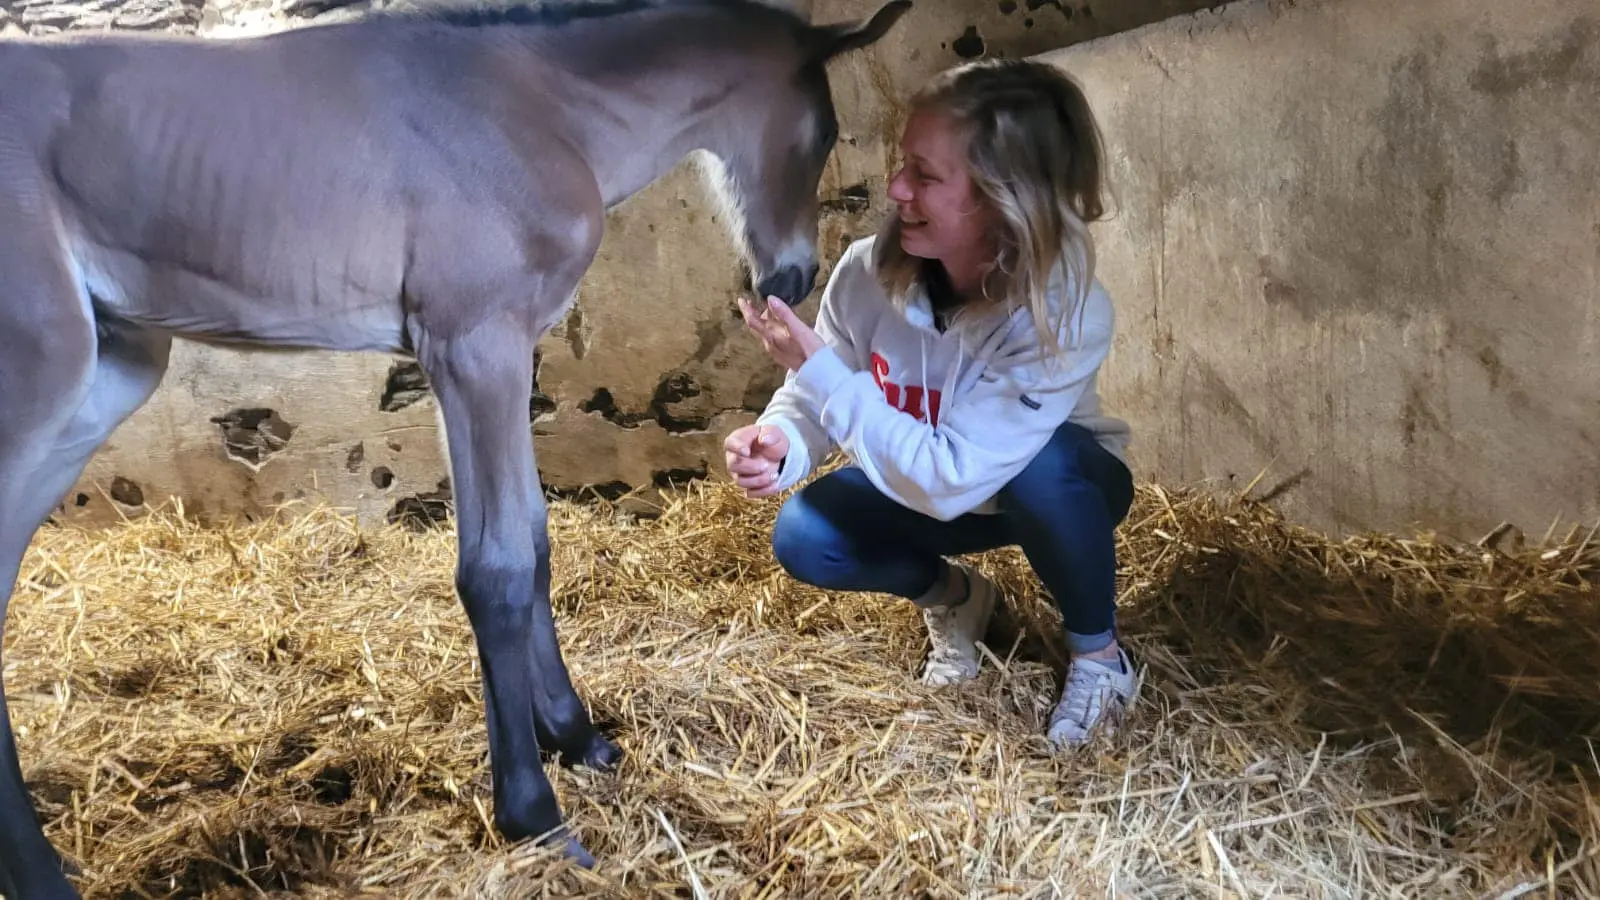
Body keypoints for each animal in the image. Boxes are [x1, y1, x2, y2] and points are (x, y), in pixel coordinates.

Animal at [0, 0, 908, 890]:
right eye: (823, 131)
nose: (792, 279)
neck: (540, 108)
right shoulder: (476, 348)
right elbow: (496, 570)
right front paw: (533, 813)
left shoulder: (479, 359)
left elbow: (531, 541)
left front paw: (574, 736)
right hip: (42, 386)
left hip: (110, 374)